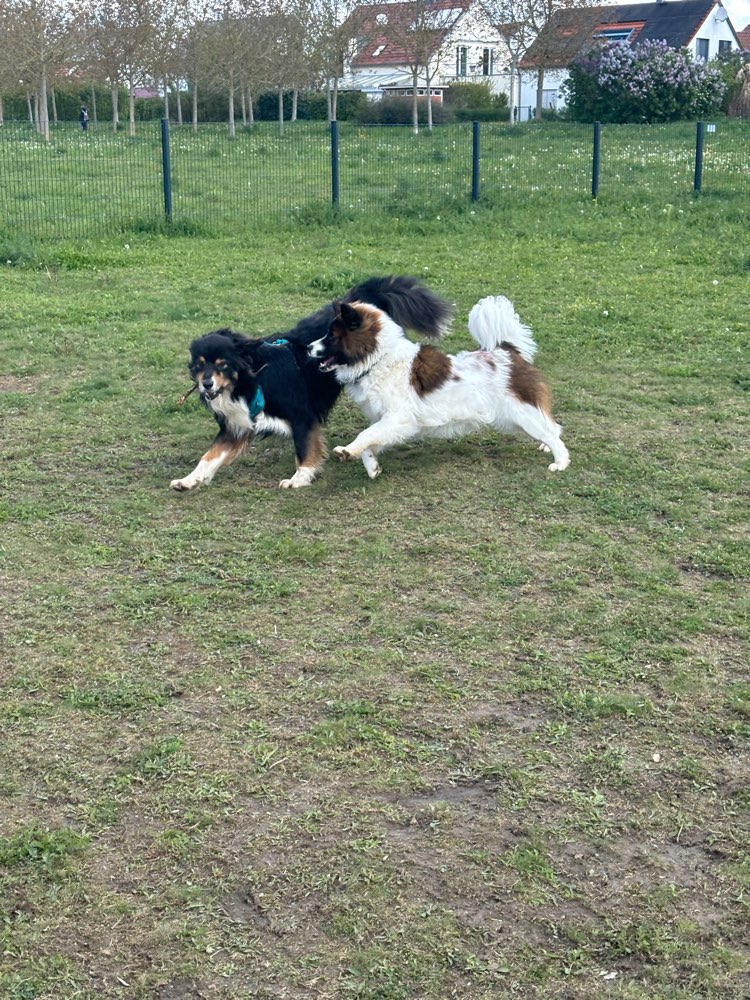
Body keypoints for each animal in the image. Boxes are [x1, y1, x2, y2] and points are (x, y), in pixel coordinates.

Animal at [170, 276, 453, 491]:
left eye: (222, 364)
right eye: (199, 365)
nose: (206, 385)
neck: (252, 379)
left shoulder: (302, 415)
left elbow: (304, 449)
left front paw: (300, 478)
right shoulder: (235, 426)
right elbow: (209, 456)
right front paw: (189, 480)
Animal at [308, 294, 570, 479]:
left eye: (332, 336)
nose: (308, 347)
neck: (378, 358)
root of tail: (508, 352)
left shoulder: (398, 418)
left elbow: (365, 434)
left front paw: (346, 451)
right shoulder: (386, 421)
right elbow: (370, 440)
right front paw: (371, 466)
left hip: (520, 413)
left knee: (552, 433)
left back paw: (560, 462)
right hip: (515, 418)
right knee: (552, 427)